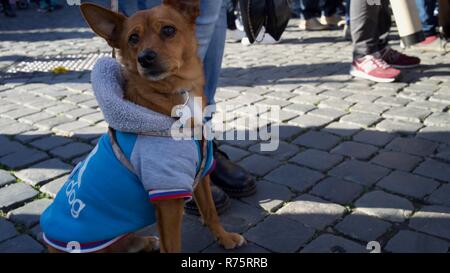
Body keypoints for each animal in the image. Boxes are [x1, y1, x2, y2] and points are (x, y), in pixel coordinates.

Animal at [40, 0, 246, 252]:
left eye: (168, 30)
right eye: (132, 38)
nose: (145, 58)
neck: (175, 93)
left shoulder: (200, 176)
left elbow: (210, 212)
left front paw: (225, 237)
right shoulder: (167, 196)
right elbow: (173, 246)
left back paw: (145, 241)